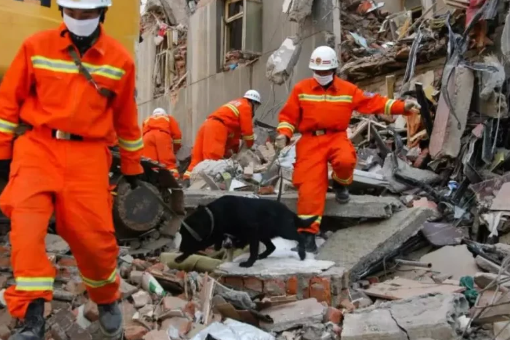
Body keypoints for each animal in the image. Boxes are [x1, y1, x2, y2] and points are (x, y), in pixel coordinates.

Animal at [176, 195, 318, 266]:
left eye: (186, 235)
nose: (180, 249)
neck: (215, 215)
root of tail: (290, 212)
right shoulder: (212, 235)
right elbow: (195, 247)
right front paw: (181, 257)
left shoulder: (252, 231)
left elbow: (253, 250)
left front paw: (249, 263)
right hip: (264, 235)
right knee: (271, 246)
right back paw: (262, 256)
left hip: (284, 231)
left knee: (300, 237)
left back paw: (302, 254)